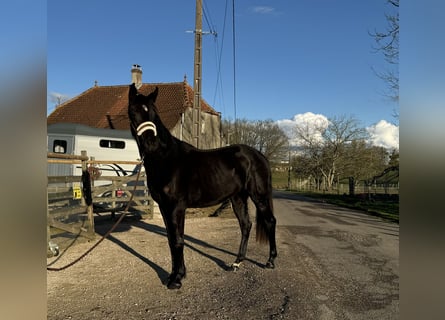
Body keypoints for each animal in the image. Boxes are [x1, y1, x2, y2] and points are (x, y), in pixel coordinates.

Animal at [126, 84, 276, 288]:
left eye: (154, 113)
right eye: (133, 111)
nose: (150, 144)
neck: (166, 159)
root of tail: (260, 156)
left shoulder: (177, 207)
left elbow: (178, 240)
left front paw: (177, 279)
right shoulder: (165, 208)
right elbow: (172, 240)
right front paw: (174, 275)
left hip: (258, 196)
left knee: (270, 222)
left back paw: (270, 261)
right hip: (238, 198)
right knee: (246, 225)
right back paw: (236, 263)